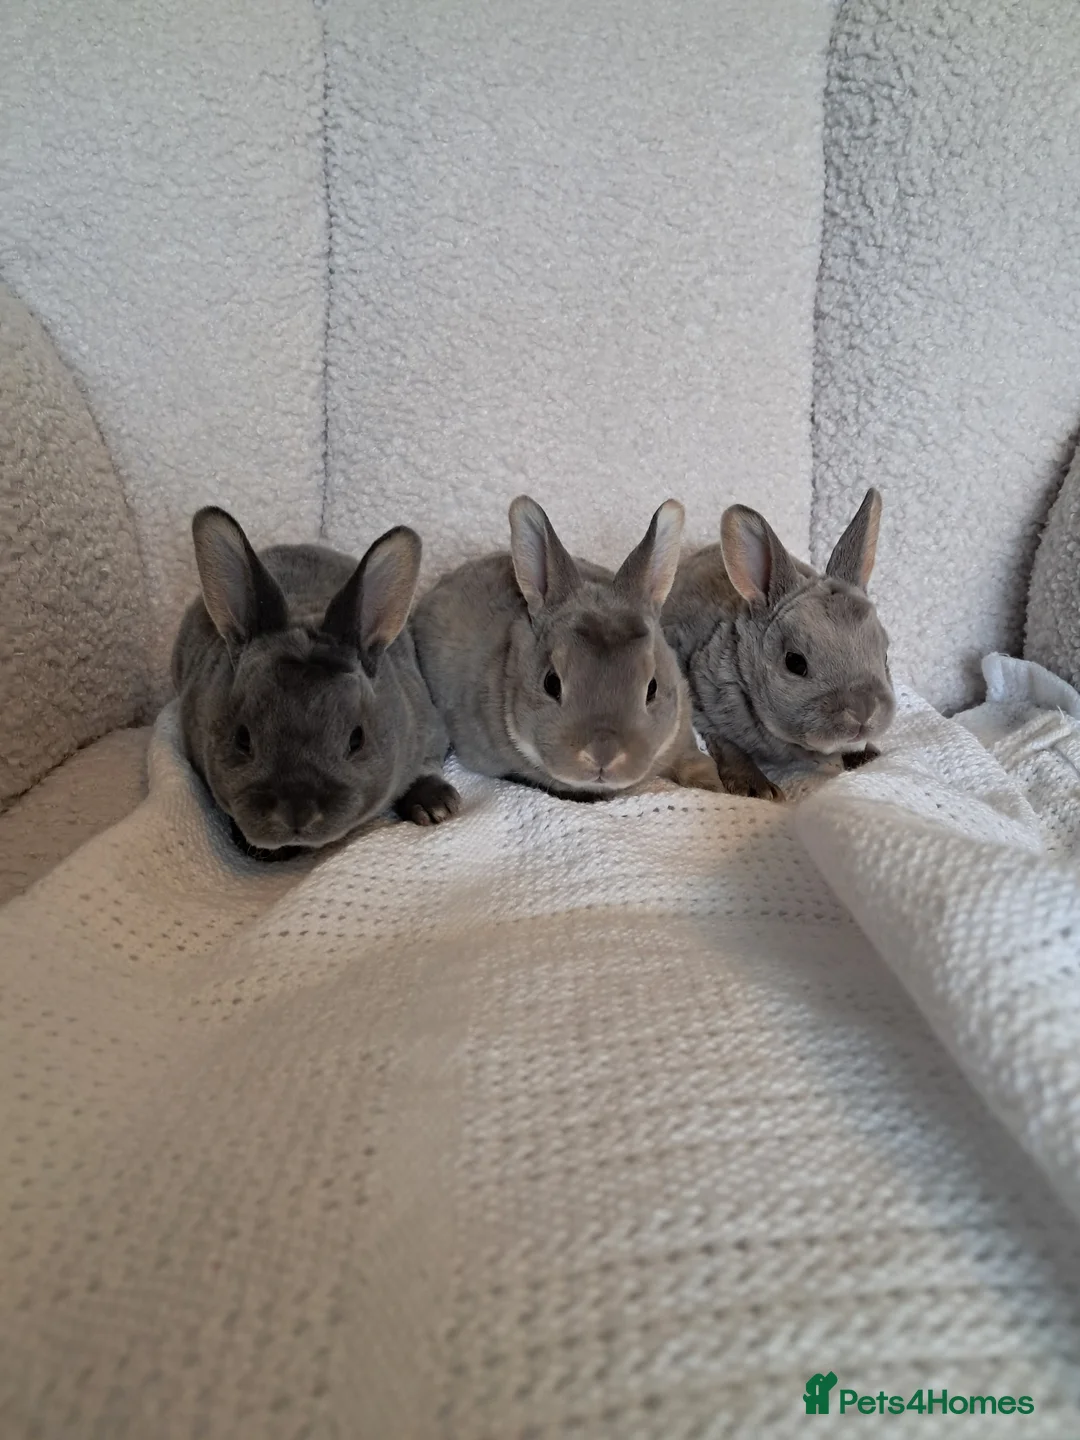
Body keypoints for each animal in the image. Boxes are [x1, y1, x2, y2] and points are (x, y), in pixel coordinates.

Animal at [172, 506, 461, 857]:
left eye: (357, 740)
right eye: (241, 740)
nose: (297, 814)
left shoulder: (429, 730)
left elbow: (426, 767)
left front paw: (437, 807)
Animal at [662, 488, 895, 801]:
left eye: (884, 656)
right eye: (795, 663)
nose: (863, 711)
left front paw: (866, 755)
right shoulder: (705, 706)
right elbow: (729, 747)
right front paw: (756, 788)